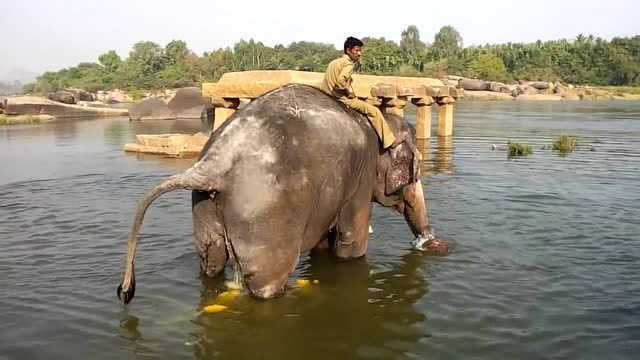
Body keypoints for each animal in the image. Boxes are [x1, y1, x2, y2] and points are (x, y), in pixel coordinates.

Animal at [120, 84, 450, 304]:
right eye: (415, 171)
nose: (436, 244)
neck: (381, 120)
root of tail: (214, 161)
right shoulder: (362, 174)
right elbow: (351, 242)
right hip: (266, 212)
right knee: (267, 281)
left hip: (204, 204)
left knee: (210, 260)